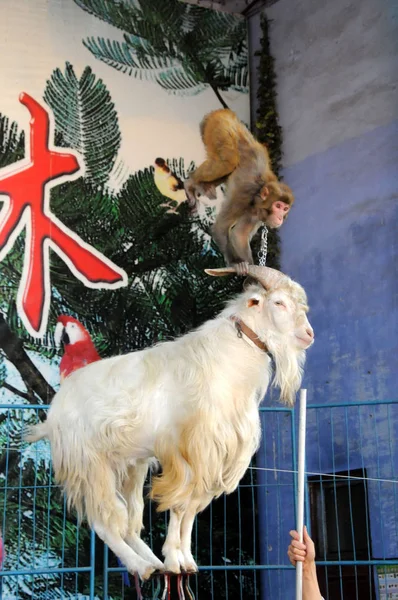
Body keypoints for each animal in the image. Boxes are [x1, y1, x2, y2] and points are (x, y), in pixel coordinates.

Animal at [27, 264, 314, 580]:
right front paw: (175, 559)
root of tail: (55, 409)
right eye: (279, 303)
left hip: (130, 466)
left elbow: (191, 510)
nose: (309, 334)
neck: (226, 361)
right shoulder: (189, 450)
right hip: (90, 464)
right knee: (104, 522)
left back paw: (153, 561)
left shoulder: (214, 455)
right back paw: (142, 567)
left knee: (130, 523)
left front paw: (186, 561)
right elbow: (179, 505)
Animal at [185, 109, 294, 274]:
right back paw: (191, 182)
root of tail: (224, 112)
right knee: (228, 162)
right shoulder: (243, 195)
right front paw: (236, 264)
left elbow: (239, 234)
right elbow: (221, 227)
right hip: (219, 127)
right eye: (278, 206)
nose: (280, 216)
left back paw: (204, 186)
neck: (258, 194)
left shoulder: (256, 214)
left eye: (285, 208)